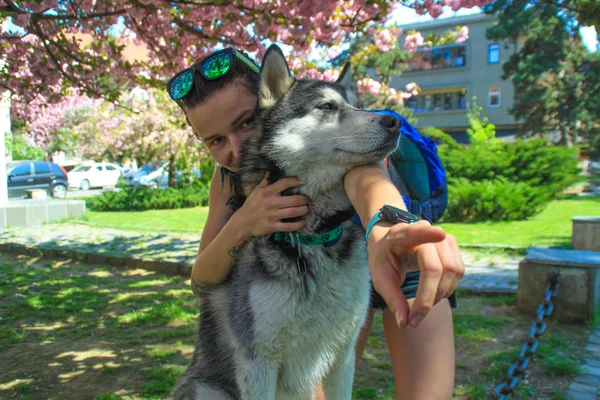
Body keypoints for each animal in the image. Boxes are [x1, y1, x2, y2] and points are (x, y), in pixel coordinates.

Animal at [176, 45, 400, 398]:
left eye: (357, 105)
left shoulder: (343, 355)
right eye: (327, 106)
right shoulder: (257, 362)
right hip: (207, 389)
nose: (395, 122)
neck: (314, 238)